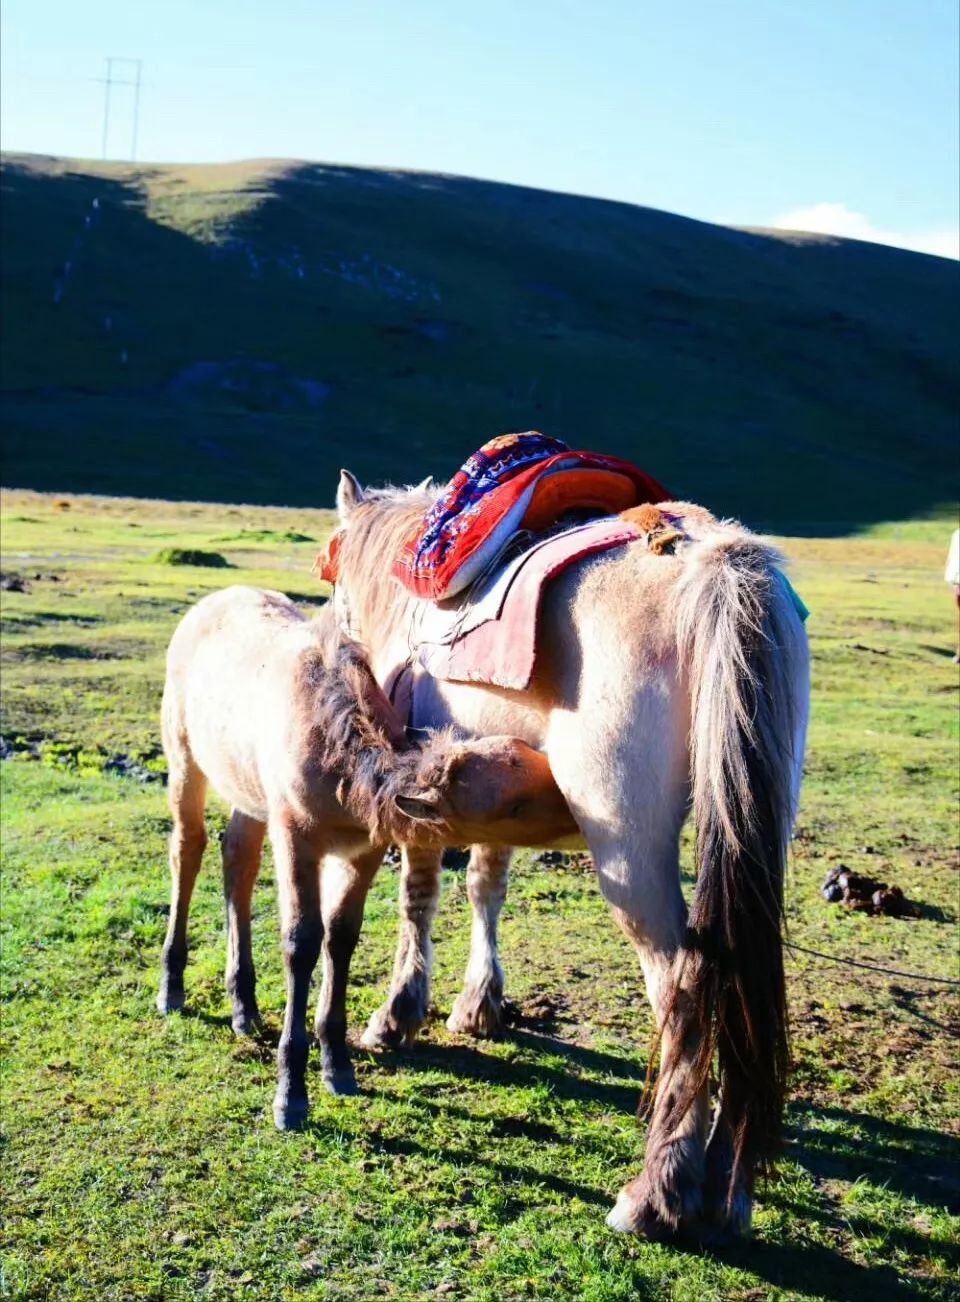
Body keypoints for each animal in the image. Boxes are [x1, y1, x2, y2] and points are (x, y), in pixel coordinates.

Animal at [157, 591, 575, 1130]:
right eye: (514, 806)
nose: (573, 804)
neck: (339, 761)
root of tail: (206, 605)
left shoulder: (365, 849)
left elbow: (341, 938)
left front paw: (337, 1065)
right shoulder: (295, 835)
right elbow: (301, 942)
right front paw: (290, 1094)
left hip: (246, 790)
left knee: (238, 860)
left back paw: (243, 1008)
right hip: (184, 757)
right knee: (188, 849)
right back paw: (172, 988)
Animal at [325, 479, 807, 1239]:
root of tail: (720, 566)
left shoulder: (423, 797)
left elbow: (419, 898)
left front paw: (398, 1014)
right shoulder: (485, 788)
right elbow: (486, 886)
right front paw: (479, 1006)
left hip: (630, 851)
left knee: (684, 983)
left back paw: (659, 1190)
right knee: (740, 971)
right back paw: (730, 1193)